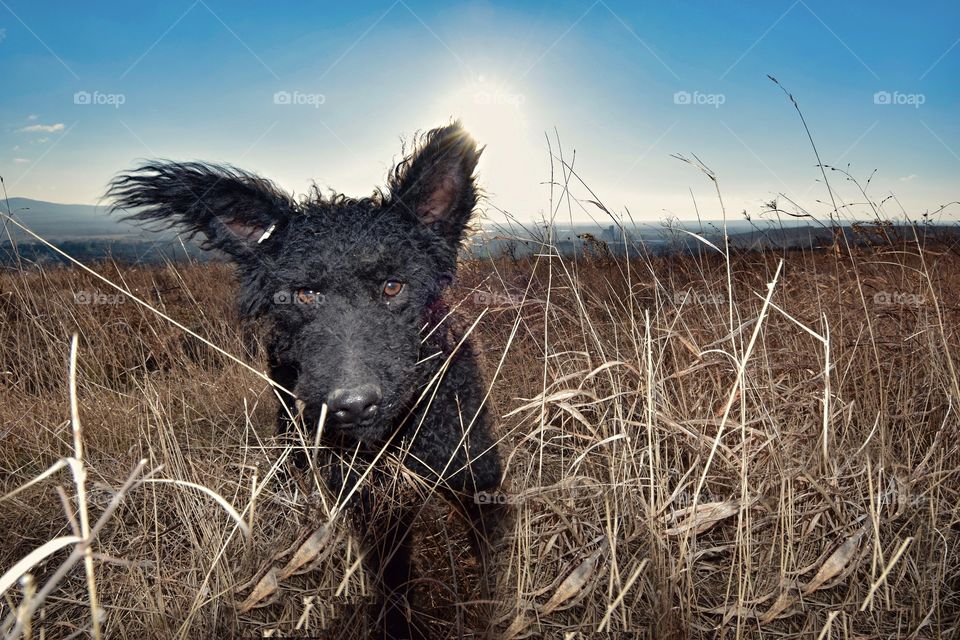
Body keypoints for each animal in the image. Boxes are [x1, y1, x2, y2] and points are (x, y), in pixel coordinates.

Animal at [109, 122, 506, 636]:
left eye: (393, 286)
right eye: (304, 294)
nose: (352, 404)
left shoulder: (476, 475)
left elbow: (498, 562)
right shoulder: (373, 507)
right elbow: (393, 580)